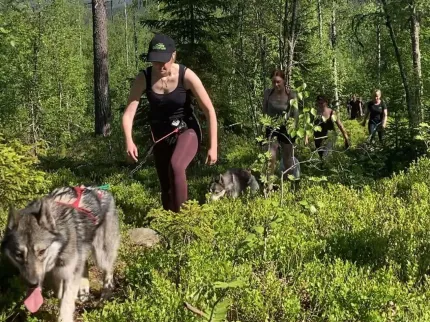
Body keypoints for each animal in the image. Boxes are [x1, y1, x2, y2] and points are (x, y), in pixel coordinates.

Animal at [0, 185, 121, 322]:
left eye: (42, 251)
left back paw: (106, 295)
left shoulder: (69, 274)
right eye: (19, 254)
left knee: (108, 271)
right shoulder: (57, 272)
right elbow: (59, 290)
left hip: (102, 257)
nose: (32, 284)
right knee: (84, 266)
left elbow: (66, 302)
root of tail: (101, 189)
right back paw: (84, 292)